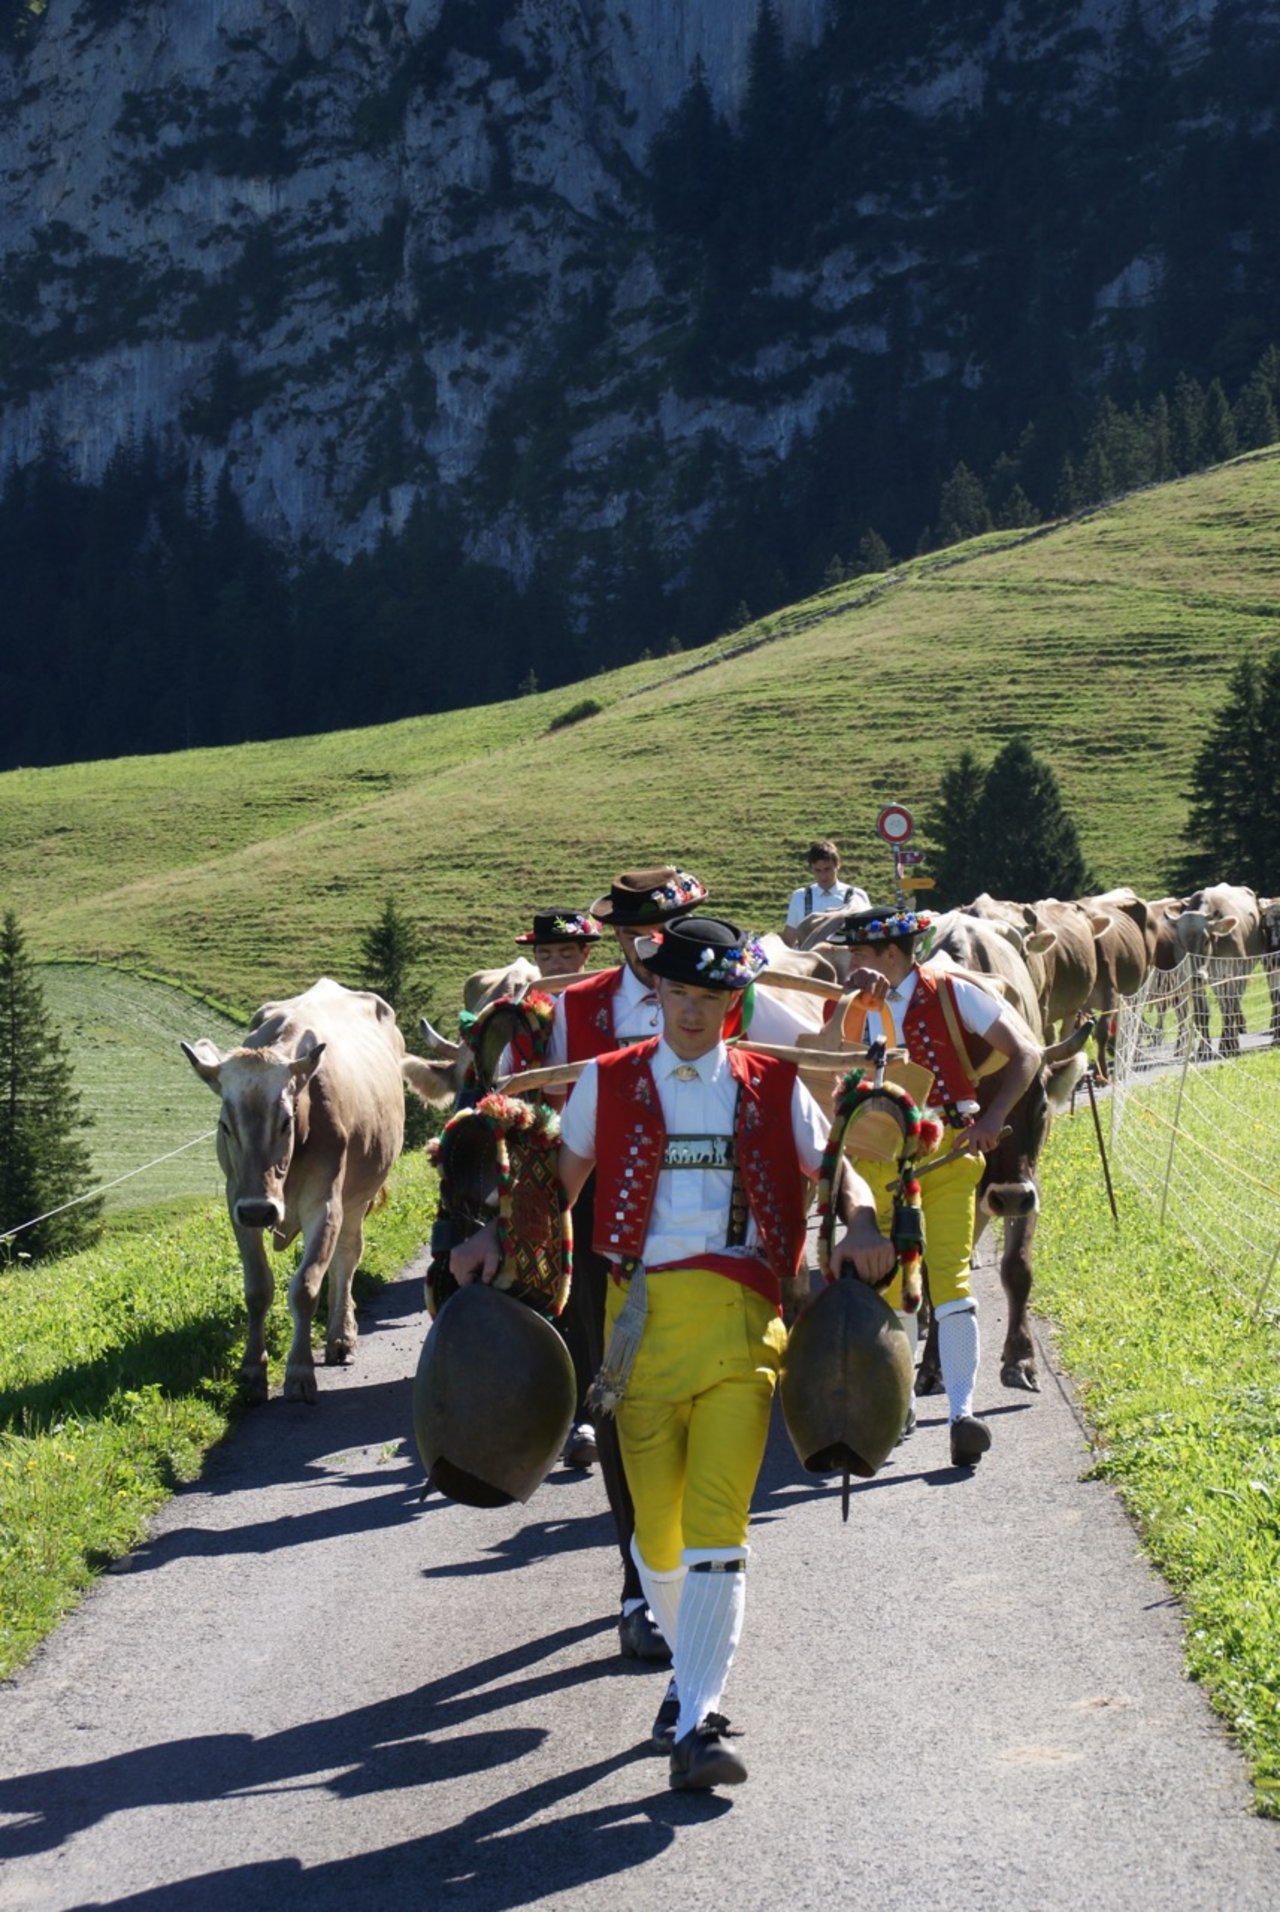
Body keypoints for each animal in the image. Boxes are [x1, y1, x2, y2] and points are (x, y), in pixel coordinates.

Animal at [181, 986, 403, 1407]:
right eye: (225, 1125)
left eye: (285, 1121)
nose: (259, 1210)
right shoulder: (237, 1201)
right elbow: (257, 1288)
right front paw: (253, 1371)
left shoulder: (326, 1204)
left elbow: (306, 1286)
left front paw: (300, 1371)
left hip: (358, 1196)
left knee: (347, 1258)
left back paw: (341, 1336)